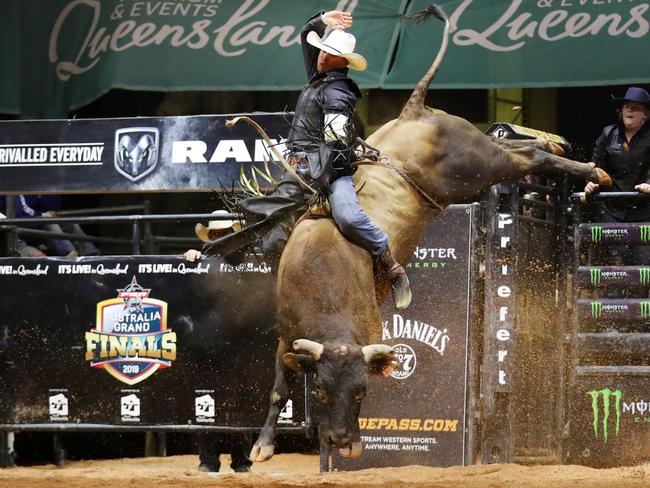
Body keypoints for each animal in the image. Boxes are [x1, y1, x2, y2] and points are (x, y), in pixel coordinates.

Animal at [238, 4, 608, 472]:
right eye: (320, 390)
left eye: (361, 392)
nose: (341, 441)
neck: (323, 279)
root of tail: (414, 111)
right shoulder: (286, 339)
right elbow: (278, 389)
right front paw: (263, 445)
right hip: (478, 161)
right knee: (523, 152)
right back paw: (557, 147)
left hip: (475, 167)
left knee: (526, 158)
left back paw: (589, 169)